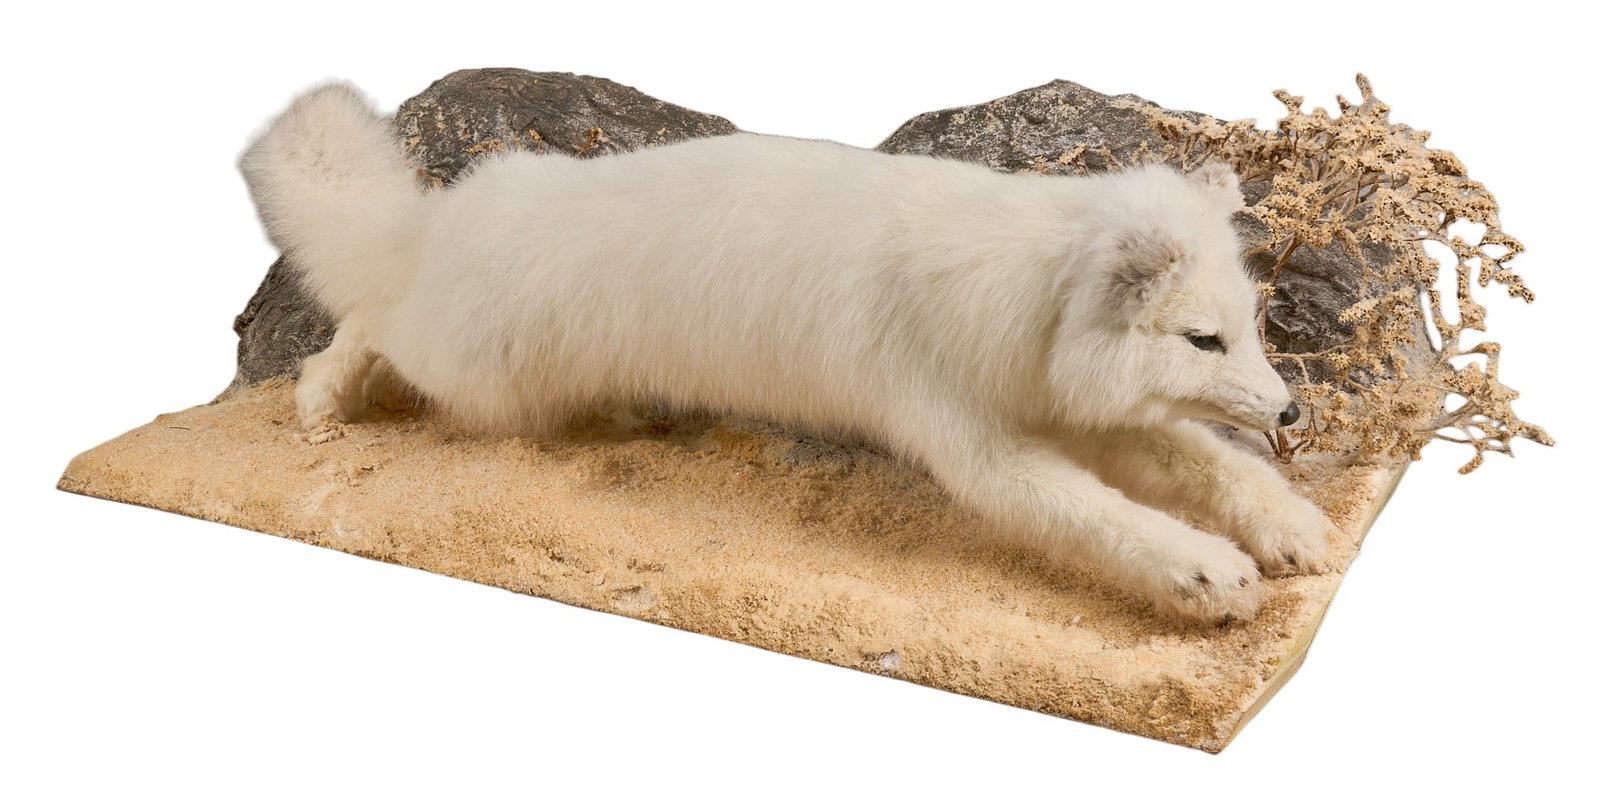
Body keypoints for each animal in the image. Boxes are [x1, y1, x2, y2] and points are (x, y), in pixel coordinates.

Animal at [240, 82, 1333, 625]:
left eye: (1250, 326)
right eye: (1201, 337)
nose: (1289, 412)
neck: (1025, 306)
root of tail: (443, 220)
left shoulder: (1066, 405)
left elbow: (1206, 461)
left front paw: (1289, 527)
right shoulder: (974, 442)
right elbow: (1097, 515)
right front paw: (1206, 571)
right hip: (476, 370)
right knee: (370, 318)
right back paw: (322, 399)